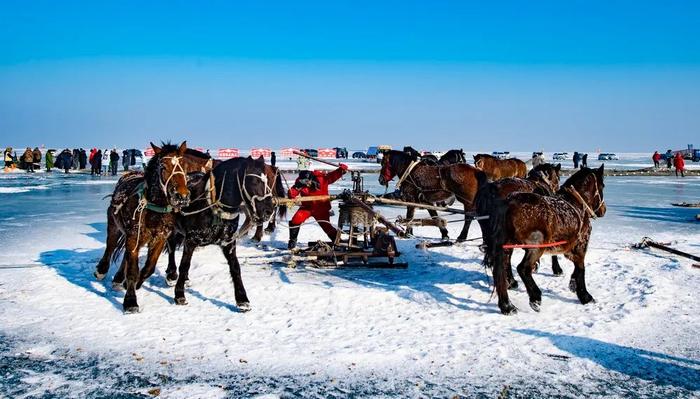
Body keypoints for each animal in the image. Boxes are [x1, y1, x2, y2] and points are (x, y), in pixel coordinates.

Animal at [486, 166, 608, 316]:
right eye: (602, 186)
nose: (604, 210)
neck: (577, 203)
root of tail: (508, 203)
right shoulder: (581, 245)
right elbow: (581, 269)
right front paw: (585, 296)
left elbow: (576, 268)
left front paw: (573, 285)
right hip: (536, 247)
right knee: (523, 269)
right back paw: (535, 297)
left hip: (506, 247)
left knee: (500, 271)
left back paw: (507, 306)